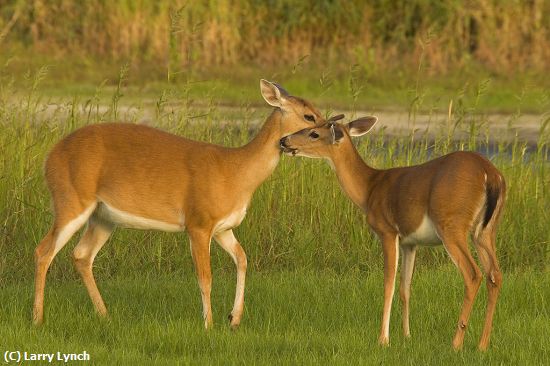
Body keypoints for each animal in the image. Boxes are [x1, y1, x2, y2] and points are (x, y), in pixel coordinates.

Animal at [33, 79, 332, 328]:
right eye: (308, 115)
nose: (330, 130)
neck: (235, 172)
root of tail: (49, 157)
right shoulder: (198, 222)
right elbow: (206, 277)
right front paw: (209, 325)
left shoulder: (223, 227)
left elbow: (243, 259)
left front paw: (234, 319)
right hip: (71, 199)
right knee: (44, 250)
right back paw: (38, 318)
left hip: (104, 217)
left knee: (81, 254)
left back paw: (104, 314)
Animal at [280, 118, 508, 352]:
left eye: (314, 133)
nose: (284, 140)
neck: (369, 189)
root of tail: (491, 174)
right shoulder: (410, 242)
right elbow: (405, 288)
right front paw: (407, 336)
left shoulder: (387, 231)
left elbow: (388, 285)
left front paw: (383, 339)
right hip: (485, 230)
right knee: (494, 274)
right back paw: (483, 344)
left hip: (451, 225)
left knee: (473, 274)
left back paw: (456, 343)